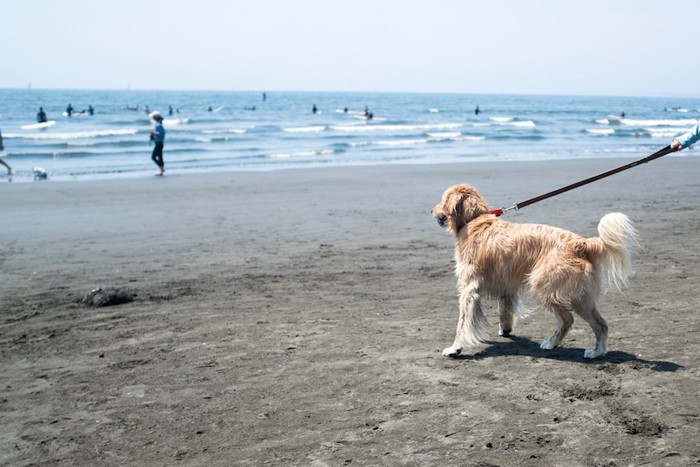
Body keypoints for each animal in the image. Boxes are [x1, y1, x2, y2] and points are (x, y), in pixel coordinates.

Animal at [430, 183, 636, 358]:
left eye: (443, 199)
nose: (431, 211)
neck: (475, 220)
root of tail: (581, 244)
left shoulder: (469, 289)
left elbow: (463, 323)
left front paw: (455, 348)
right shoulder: (506, 284)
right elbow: (505, 310)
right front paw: (505, 329)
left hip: (545, 287)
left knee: (568, 319)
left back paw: (556, 344)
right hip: (581, 297)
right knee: (601, 324)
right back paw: (595, 351)